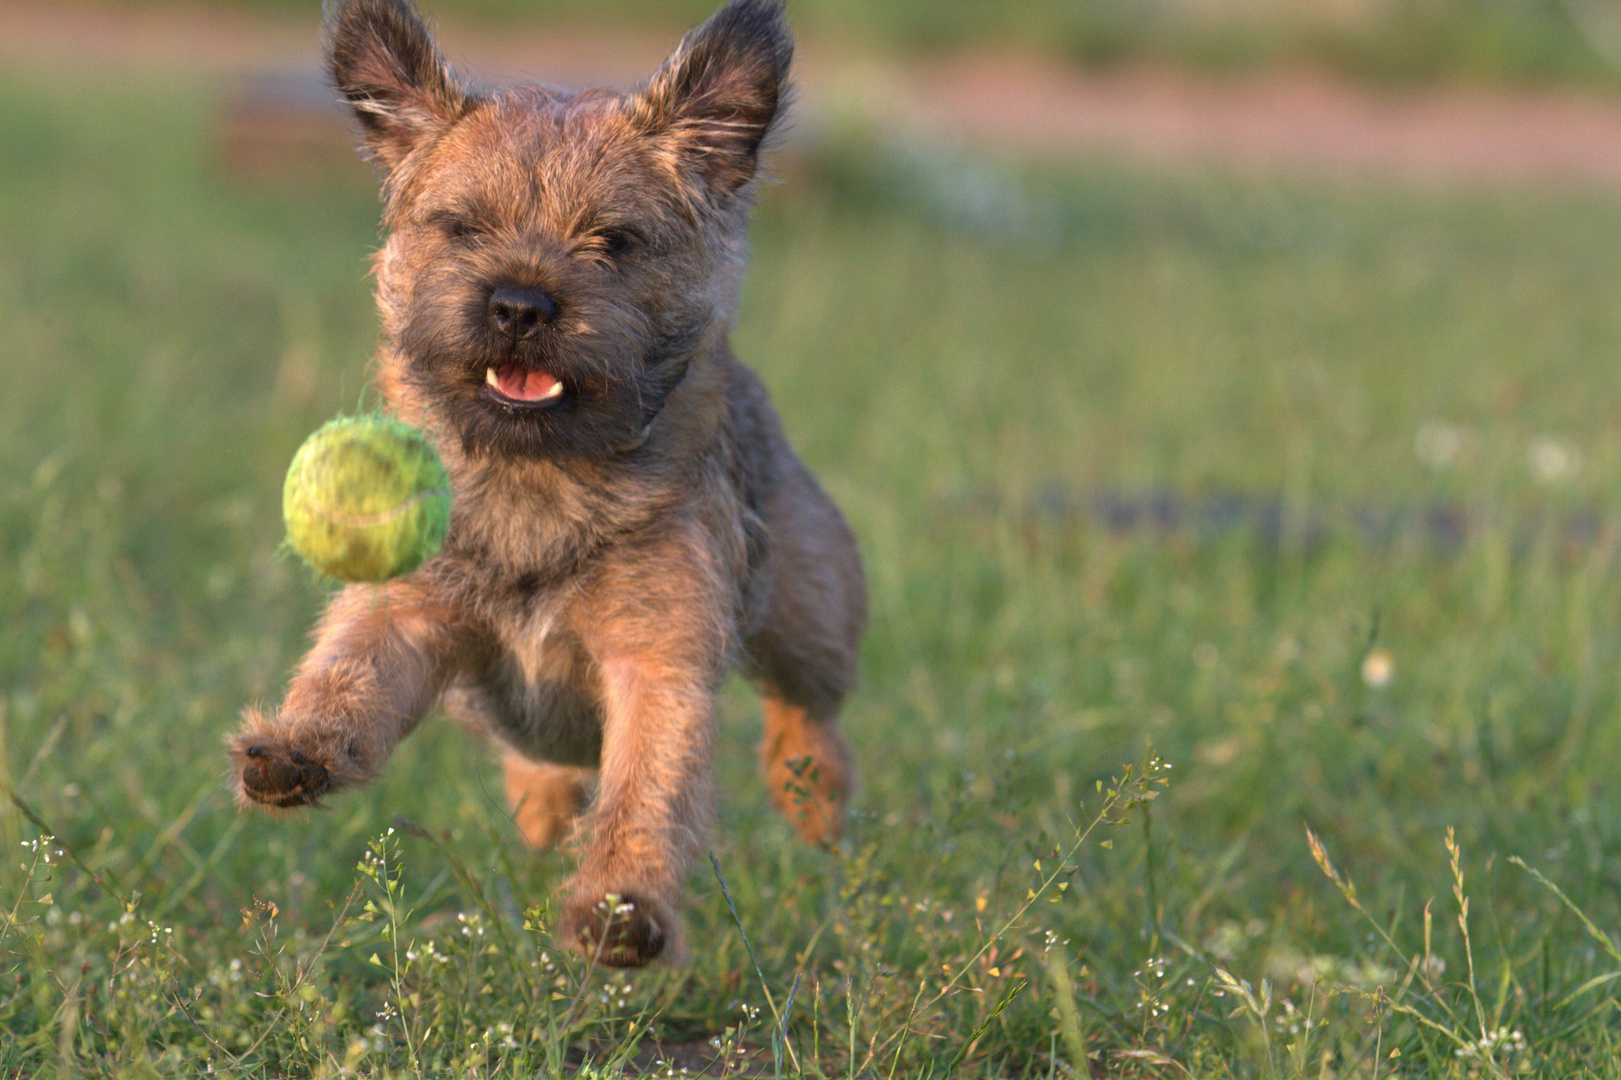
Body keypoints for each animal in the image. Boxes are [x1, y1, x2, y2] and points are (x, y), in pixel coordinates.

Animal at [230, 0, 868, 966]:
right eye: (461, 228)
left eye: (614, 241)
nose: (519, 305)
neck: (536, 475)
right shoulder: (407, 610)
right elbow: (349, 672)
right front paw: (297, 745)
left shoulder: (657, 661)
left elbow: (647, 786)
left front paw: (621, 905)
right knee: (539, 756)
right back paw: (540, 801)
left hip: (810, 605)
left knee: (807, 709)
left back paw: (812, 795)